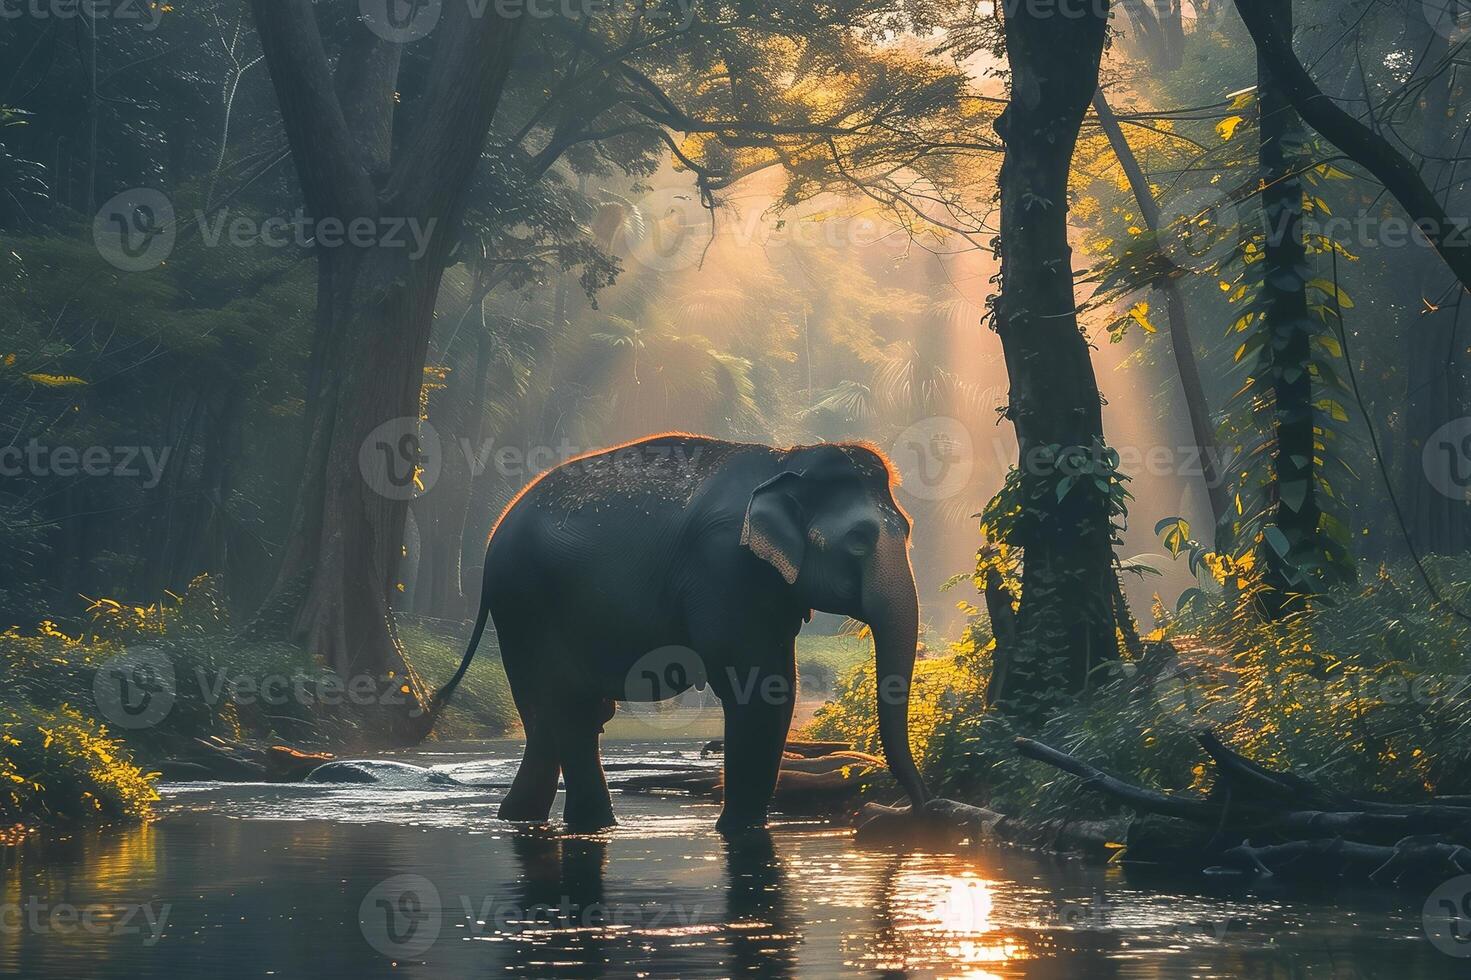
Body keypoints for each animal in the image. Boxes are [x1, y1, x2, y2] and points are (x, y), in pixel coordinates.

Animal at [429, 432, 923, 829]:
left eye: (908, 530)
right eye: (858, 540)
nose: (919, 805)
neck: (786, 460)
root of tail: (495, 535)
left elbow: (776, 682)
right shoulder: (723, 566)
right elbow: (759, 687)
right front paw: (738, 830)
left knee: (554, 717)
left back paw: (523, 819)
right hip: (526, 604)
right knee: (565, 706)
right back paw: (593, 824)